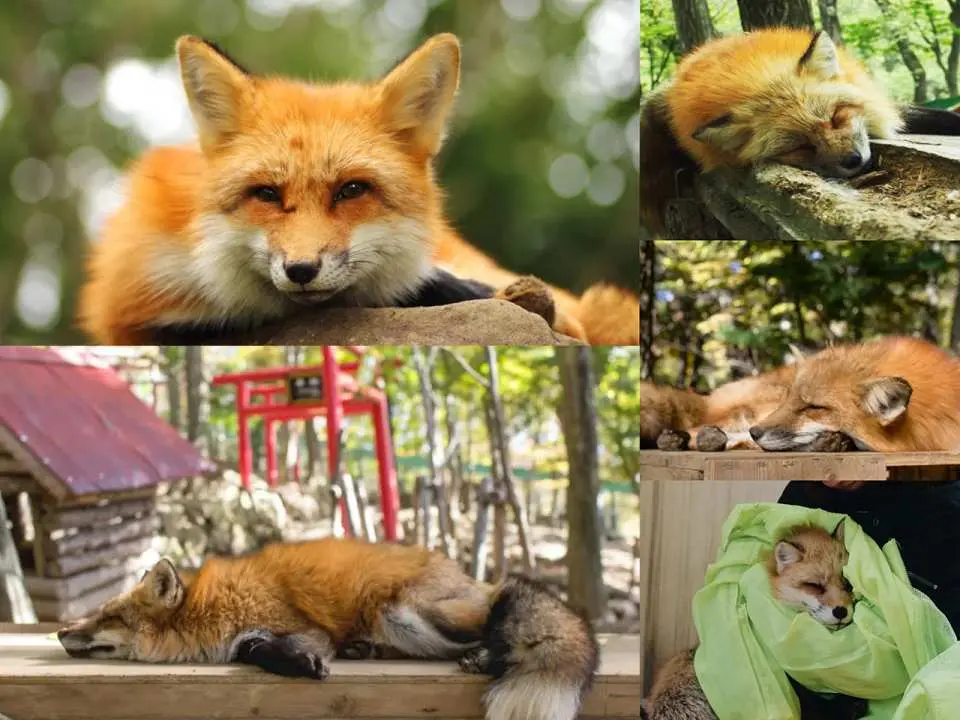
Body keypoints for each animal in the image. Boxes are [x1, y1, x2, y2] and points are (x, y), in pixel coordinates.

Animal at [57, 537, 598, 720]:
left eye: (109, 617)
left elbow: (262, 647)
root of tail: (472, 577)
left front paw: (304, 664)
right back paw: (366, 651)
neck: (207, 610)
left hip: (407, 612)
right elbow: (252, 647)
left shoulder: (297, 625)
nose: (61, 632)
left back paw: (482, 656)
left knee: (495, 624)